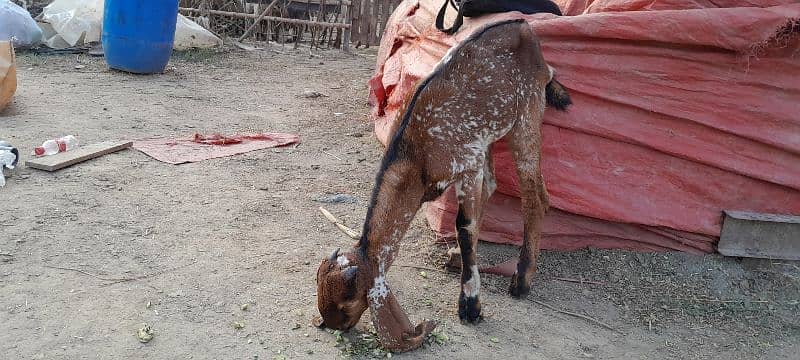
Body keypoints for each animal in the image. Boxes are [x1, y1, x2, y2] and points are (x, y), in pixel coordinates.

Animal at [316, 18, 572, 352]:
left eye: (347, 301)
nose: (330, 324)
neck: (415, 154)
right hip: (491, 133)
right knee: (496, 186)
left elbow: (464, 225)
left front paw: (471, 306)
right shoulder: (474, 155)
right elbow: (476, 213)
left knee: (535, 196)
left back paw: (521, 279)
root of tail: (525, 28)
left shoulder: (468, 164)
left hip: (527, 113)